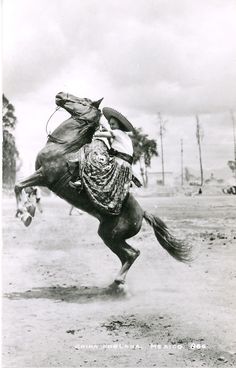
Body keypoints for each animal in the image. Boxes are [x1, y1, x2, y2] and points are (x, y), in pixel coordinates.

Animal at [14, 92, 192, 290]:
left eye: (84, 100)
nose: (60, 95)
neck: (63, 147)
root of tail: (143, 213)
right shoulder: (41, 176)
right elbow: (25, 188)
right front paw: (28, 211)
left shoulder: (44, 175)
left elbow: (18, 185)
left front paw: (24, 214)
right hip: (109, 236)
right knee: (130, 254)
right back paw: (116, 284)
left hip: (112, 236)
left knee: (131, 254)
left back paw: (117, 283)